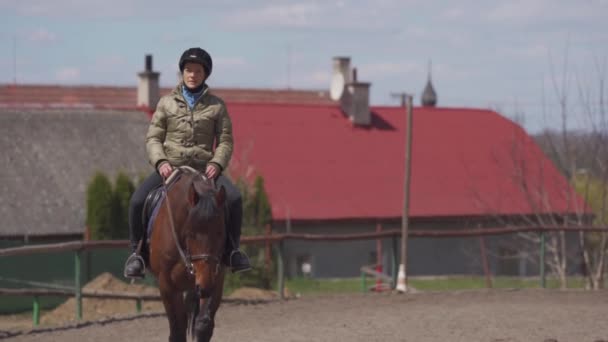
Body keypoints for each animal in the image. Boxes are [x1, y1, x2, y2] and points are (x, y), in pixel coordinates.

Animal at [148, 166, 227, 342]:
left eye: (220, 233)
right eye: (190, 233)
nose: (205, 286)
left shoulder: (215, 279)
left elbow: (203, 325)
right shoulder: (167, 285)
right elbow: (177, 330)